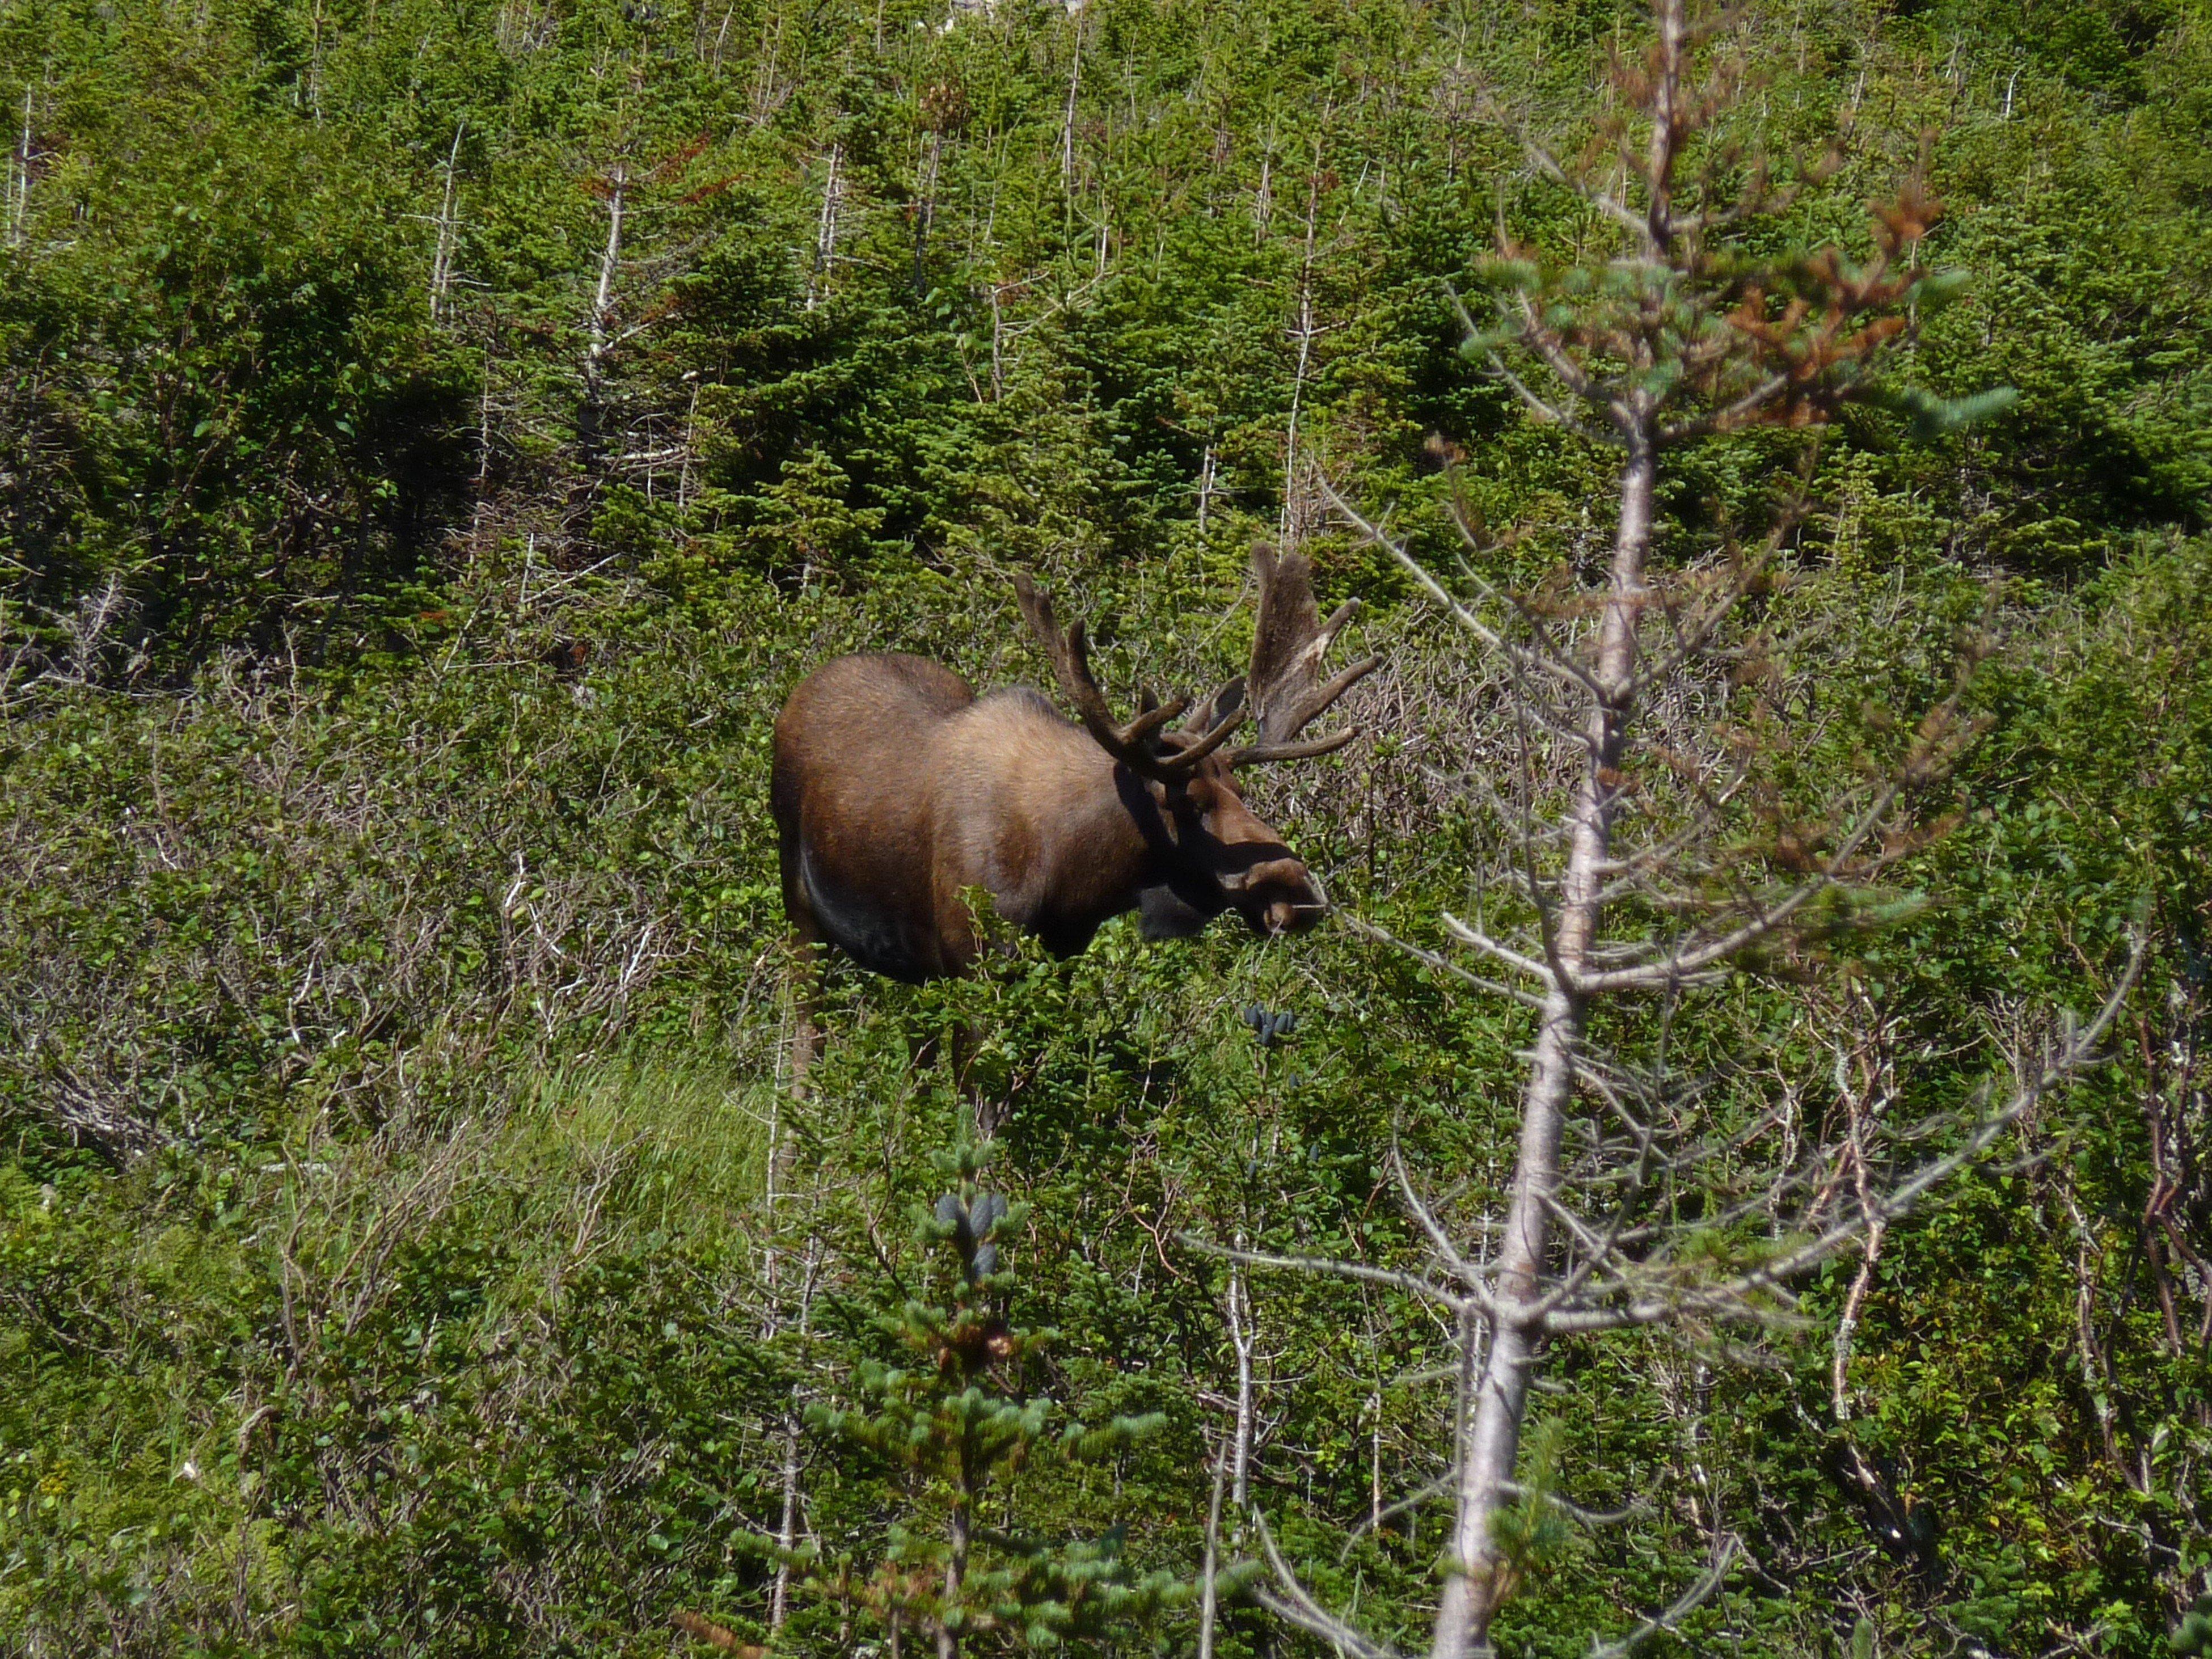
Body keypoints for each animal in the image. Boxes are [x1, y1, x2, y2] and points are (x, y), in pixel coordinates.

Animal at [770, 553, 1371, 1110]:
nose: (1298, 889)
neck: (1068, 871)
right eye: (1188, 801)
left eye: (1242, 792)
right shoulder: (977, 966)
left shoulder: (1053, 965)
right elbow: (978, 1103)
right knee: (806, 1033)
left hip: (914, 962)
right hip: (800, 902)